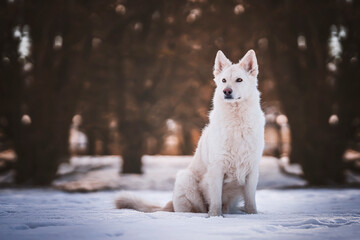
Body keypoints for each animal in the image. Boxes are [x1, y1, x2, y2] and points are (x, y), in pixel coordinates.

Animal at [115, 49, 264, 217]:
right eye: (224, 80)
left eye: (239, 80)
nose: (226, 91)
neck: (237, 121)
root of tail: (171, 204)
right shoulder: (216, 168)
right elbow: (215, 200)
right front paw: (215, 217)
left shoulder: (252, 169)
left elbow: (250, 200)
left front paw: (252, 214)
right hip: (185, 178)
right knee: (196, 209)